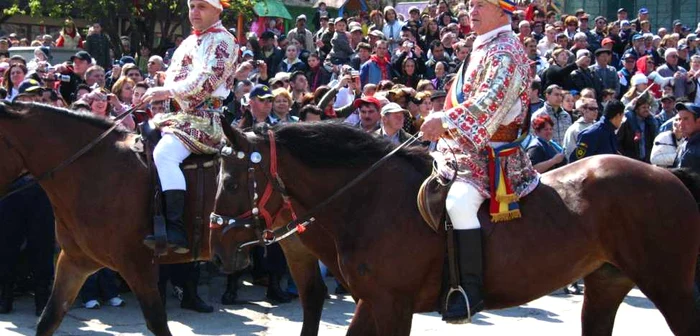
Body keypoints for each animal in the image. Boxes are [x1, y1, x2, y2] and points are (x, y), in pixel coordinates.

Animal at [0, 101, 330, 336]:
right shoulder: (74, 261)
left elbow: (158, 322)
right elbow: (49, 319)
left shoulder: (136, 264)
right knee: (313, 296)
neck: (93, 168)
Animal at [211, 122, 700, 336]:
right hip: (606, 284)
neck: (368, 200)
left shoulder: (393, 305)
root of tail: (668, 175)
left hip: (670, 287)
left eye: (231, 182)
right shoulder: (374, 302)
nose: (216, 248)